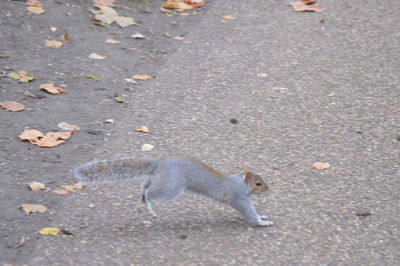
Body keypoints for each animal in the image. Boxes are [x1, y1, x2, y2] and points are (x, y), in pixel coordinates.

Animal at [73, 158, 274, 227]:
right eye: (258, 183)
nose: (268, 189)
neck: (239, 183)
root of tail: (159, 164)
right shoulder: (238, 198)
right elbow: (248, 212)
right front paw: (263, 222)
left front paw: (264, 216)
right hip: (171, 188)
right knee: (151, 193)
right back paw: (150, 207)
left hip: (161, 181)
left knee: (145, 185)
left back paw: (143, 194)